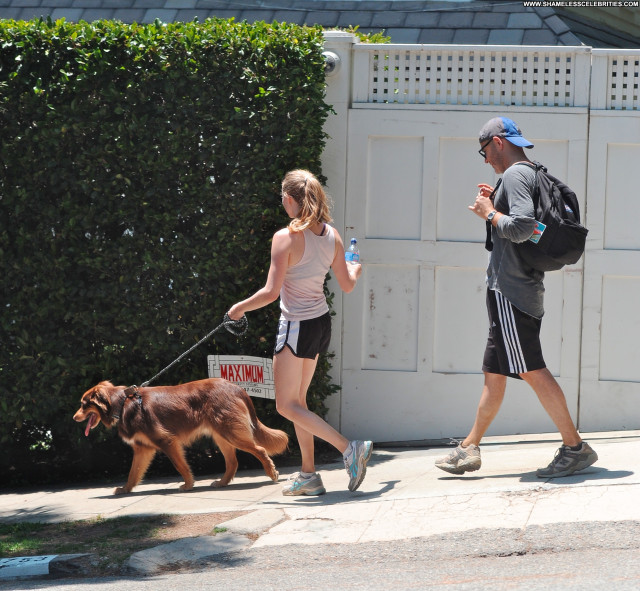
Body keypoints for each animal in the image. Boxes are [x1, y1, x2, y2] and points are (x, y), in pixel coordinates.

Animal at [72, 380, 288, 494]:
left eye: (83, 404)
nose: (74, 418)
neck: (122, 403)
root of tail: (234, 386)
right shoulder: (143, 448)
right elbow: (134, 472)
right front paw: (125, 489)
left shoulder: (166, 441)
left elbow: (179, 465)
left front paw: (188, 484)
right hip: (221, 435)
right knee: (233, 461)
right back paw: (222, 483)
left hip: (230, 432)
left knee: (259, 449)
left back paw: (272, 473)